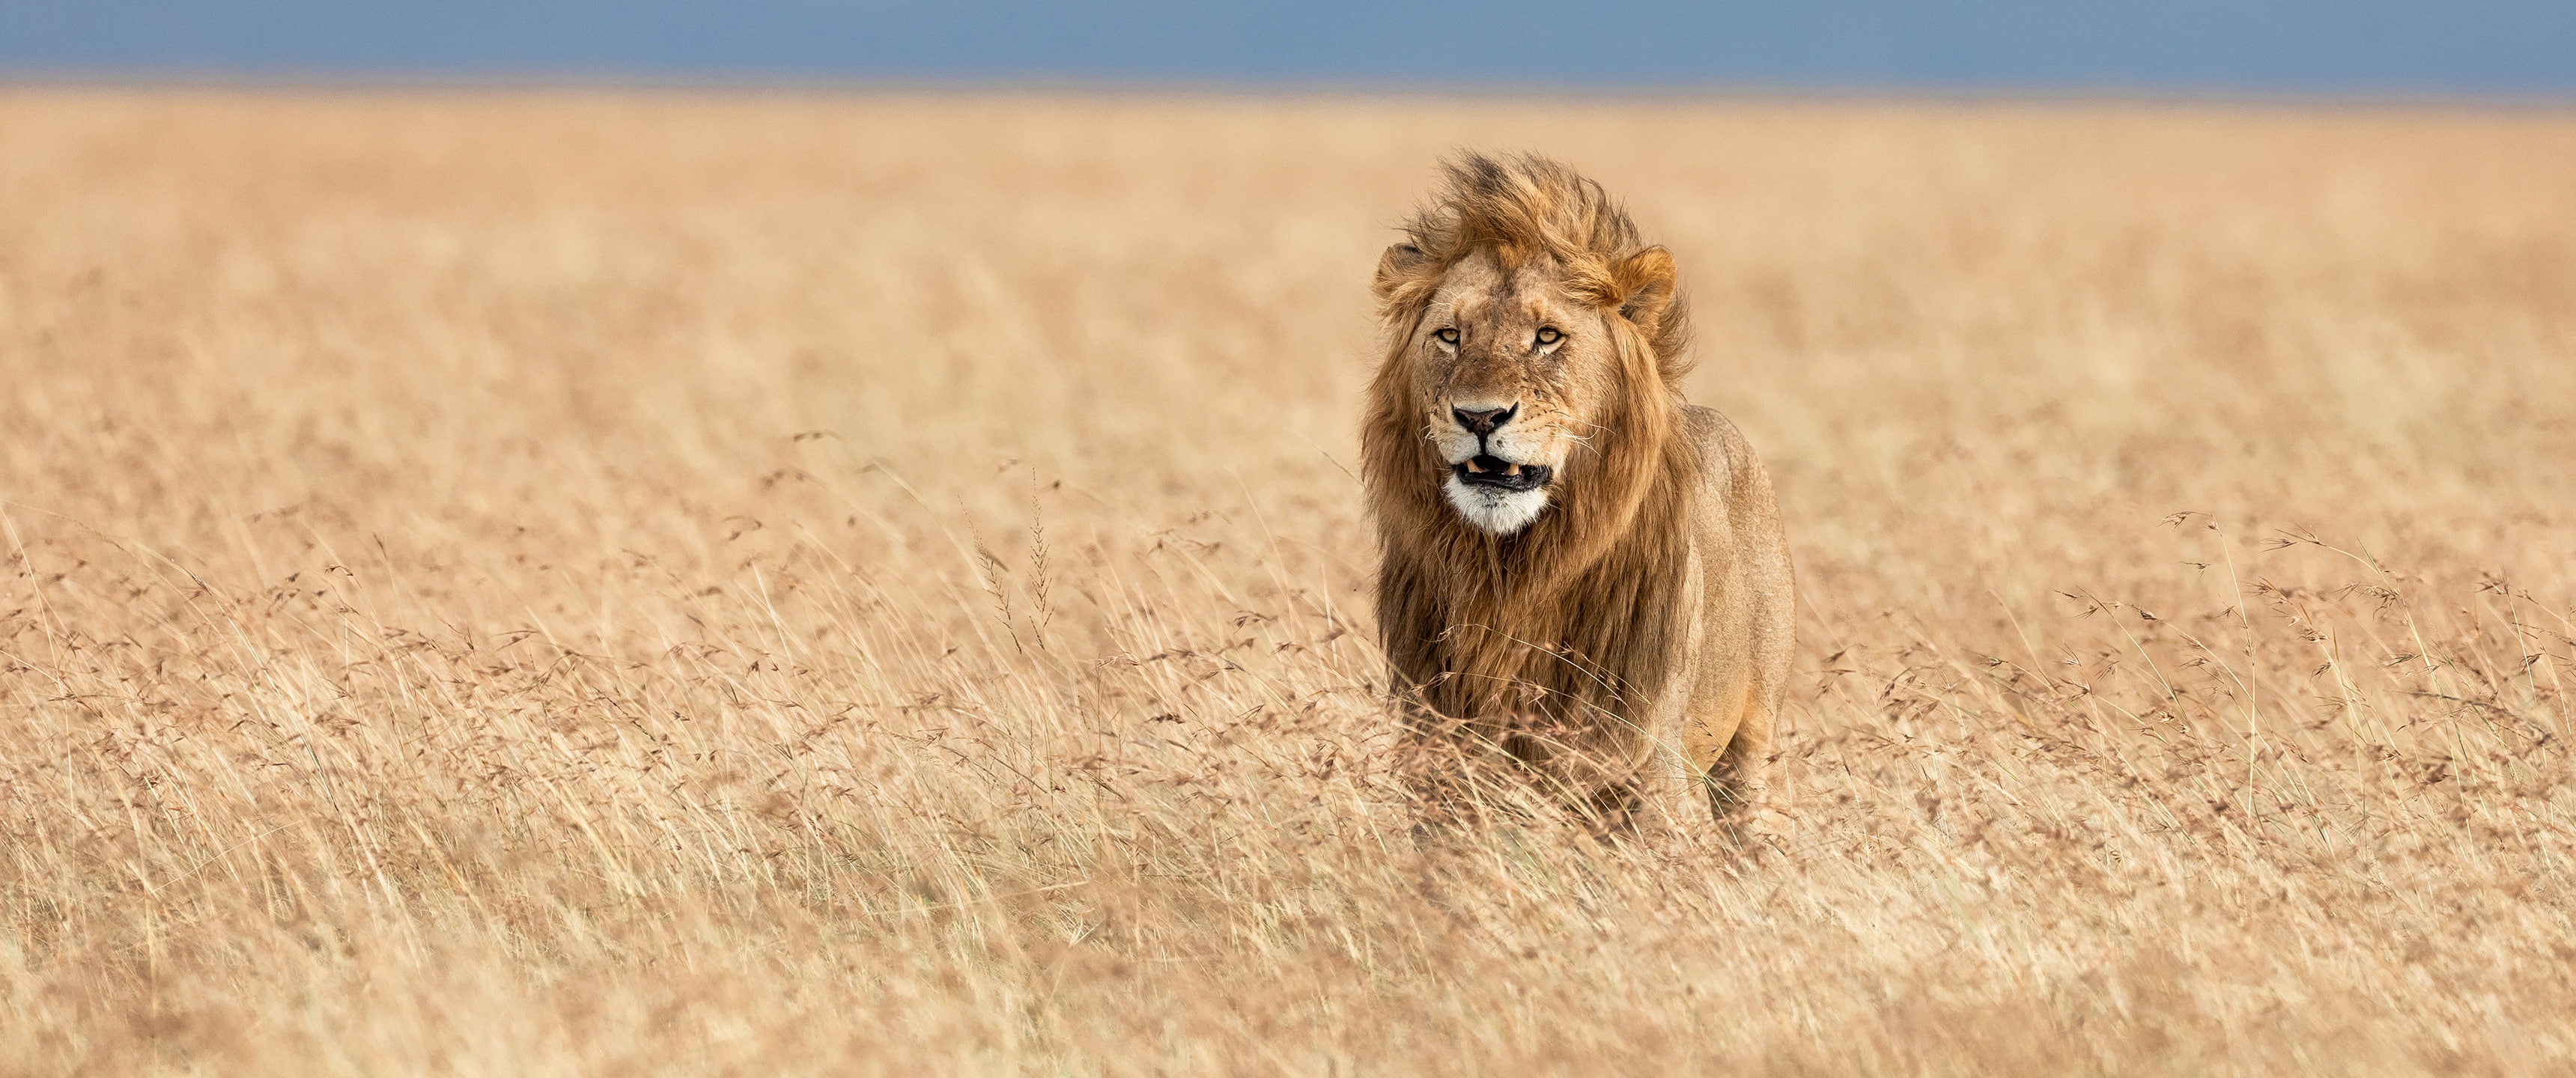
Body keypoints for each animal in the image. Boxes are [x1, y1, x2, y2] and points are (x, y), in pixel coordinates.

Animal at [1363, 153, 1794, 832]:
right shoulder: (1441, 758)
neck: (1511, 573)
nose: (1480, 416)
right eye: (1450, 336)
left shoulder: (1644, 761)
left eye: (1547, 336)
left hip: (1755, 742)